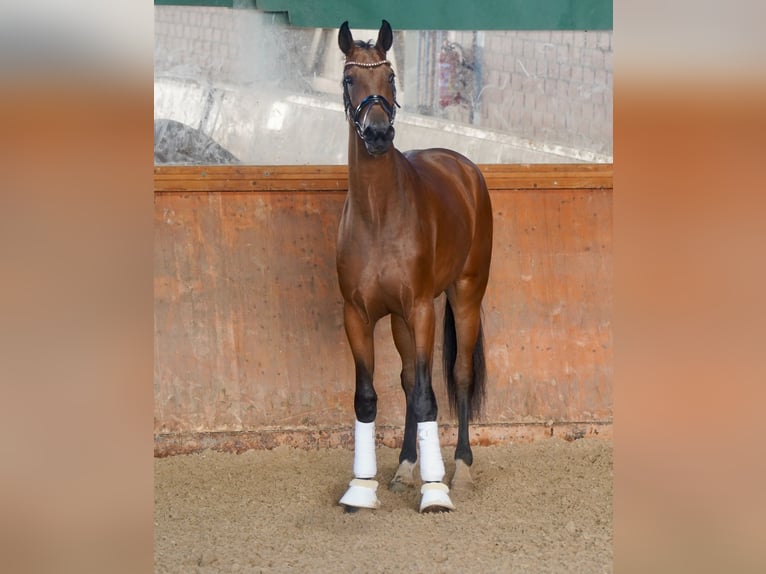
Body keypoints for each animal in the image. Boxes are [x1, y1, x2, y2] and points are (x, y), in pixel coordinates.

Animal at [335, 20, 493, 513]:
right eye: (350, 78)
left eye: (390, 78)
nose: (378, 133)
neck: (379, 215)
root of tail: (463, 167)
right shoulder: (358, 315)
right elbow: (368, 397)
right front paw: (361, 486)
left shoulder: (423, 309)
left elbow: (428, 398)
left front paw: (436, 490)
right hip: (401, 321)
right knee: (408, 380)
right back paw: (406, 467)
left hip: (465, 296)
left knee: (457, 378)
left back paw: (462, 467)